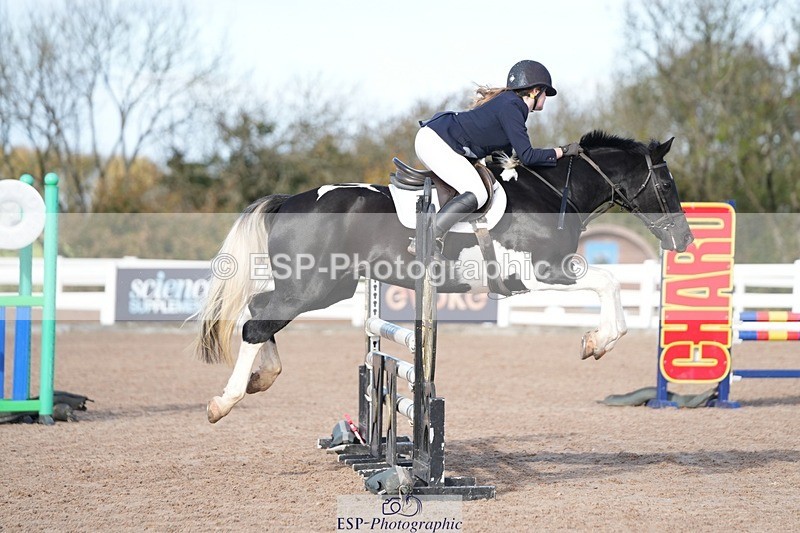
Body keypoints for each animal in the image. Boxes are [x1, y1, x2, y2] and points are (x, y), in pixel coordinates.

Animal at [194, 130, 694, 423]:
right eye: (667, 184)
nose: (685, 240)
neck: (554, 191)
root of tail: (289, 200)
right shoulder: (541, 271)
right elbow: (608, 282)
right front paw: (598, 341)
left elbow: (609, 285)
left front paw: (596, 340)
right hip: (312, 285)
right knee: (258, 321)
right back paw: (224, 401)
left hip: (327, 286)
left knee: (259, 312)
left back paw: (262, 378)